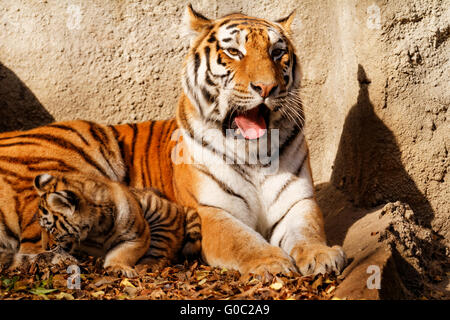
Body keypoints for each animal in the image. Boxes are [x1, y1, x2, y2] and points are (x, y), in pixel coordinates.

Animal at [0, 4, 344, 276]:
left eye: (277, 53)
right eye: (234, 52)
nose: (267, 88)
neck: (253, 152)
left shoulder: (299, 202)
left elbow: (307, 231)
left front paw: (322, 255)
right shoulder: (211, 210)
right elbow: (243, 241)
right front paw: (271, 262)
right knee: (35, 245)